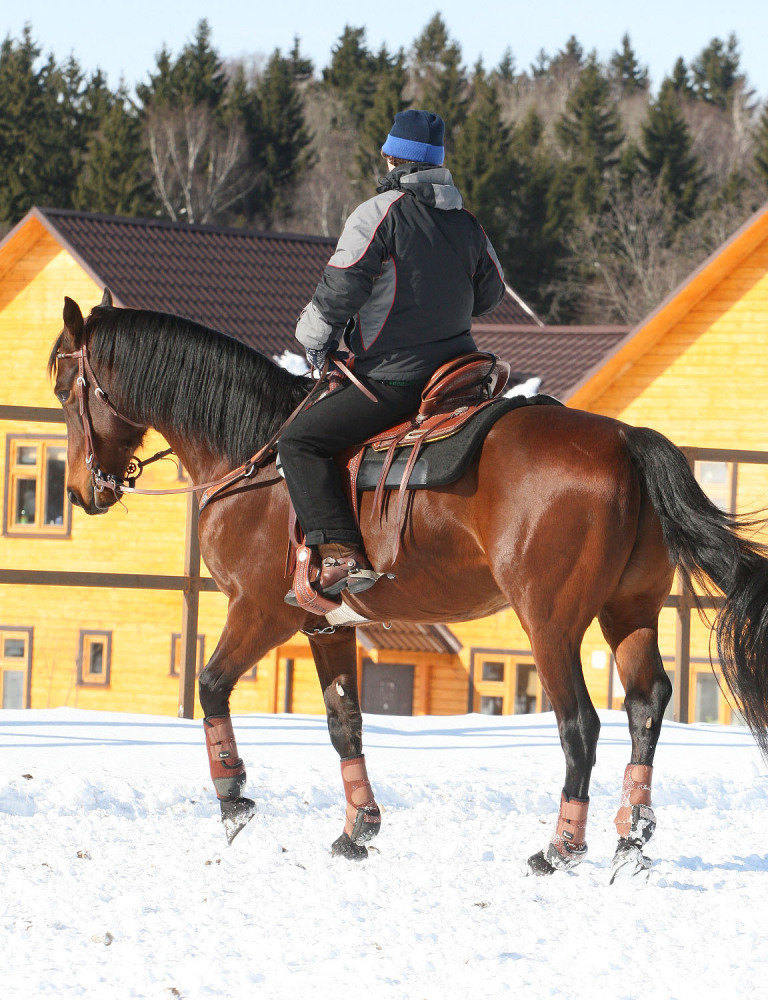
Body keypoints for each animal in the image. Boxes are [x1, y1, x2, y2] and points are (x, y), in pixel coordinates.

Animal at [51, 292, 768, 880]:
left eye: (63, 385)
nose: (82, 491)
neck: (256, 455)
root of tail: (625, 439)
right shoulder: (323, 625)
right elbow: (344, 723)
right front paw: (357, 829)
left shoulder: (260, 612)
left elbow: (210, 686)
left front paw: (233, 799)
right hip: (630, 610)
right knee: (646, 705)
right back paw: (631, 840)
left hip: (551, 621)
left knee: (579, 725)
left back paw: (560, 847)